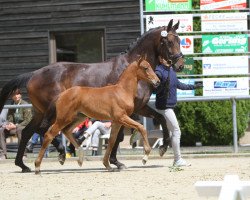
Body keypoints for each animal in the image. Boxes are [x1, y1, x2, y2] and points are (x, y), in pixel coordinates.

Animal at [0, 19, 184, 172]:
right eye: (168, 41)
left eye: (179, 39)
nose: (180, 64)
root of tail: (33, 74)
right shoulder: (131, 111)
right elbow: (119, 136)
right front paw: (116, 161)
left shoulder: (140, 107)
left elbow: (160, 119)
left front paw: (162, 148)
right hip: (53, 112)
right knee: (44, 130)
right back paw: (60, 154)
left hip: (41, 111)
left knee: (27, 132)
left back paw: (23, 165)